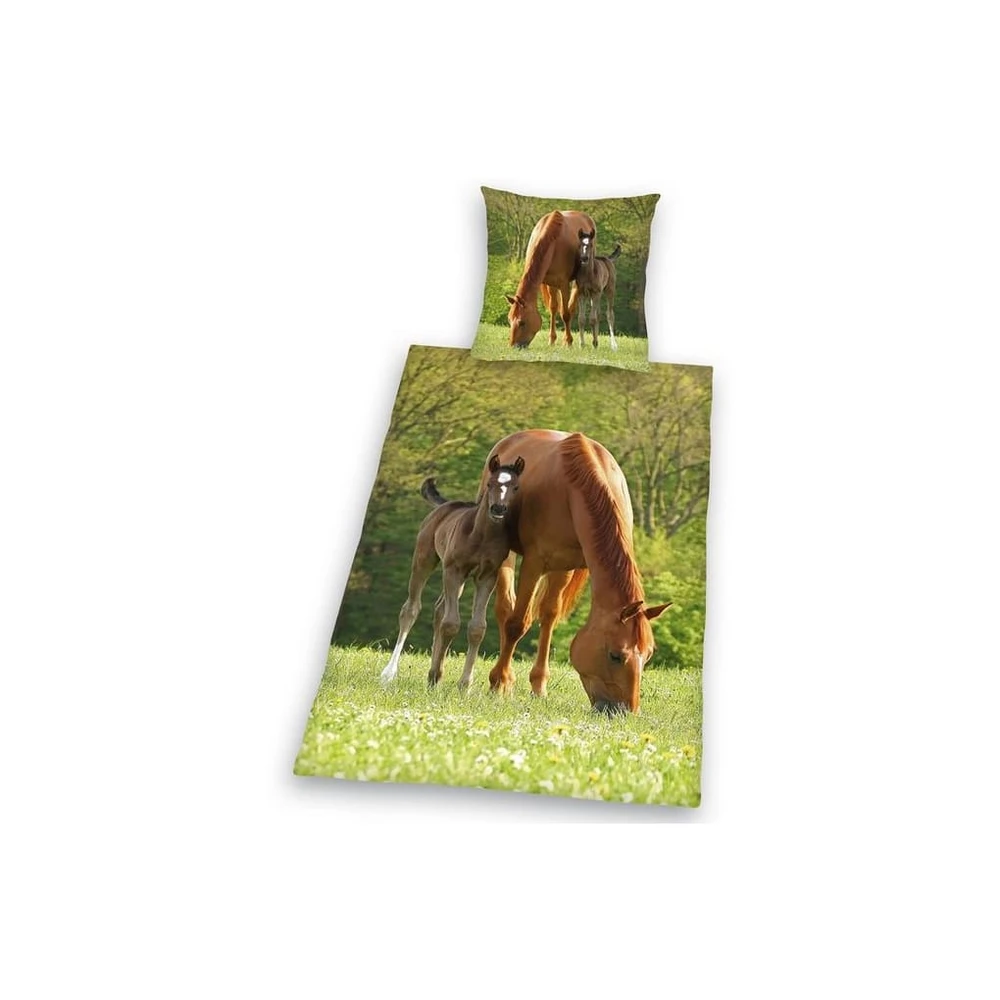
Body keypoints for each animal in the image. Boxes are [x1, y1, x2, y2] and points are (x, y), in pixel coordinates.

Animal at [380, 455, 525, 691]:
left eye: (515, 487)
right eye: (489, 484)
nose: (498, 509)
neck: (481, 536)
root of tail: (446, 505)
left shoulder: (487, 577)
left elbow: (477, 628)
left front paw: (464, 685)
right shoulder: (454, 571)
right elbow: (451, 624)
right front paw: (442, 678)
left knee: (439, 609)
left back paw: (432, 674)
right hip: (425, 559)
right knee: (411, 609)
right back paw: (390, 673)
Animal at [477, 430, 669, 714]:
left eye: (648, 655)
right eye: (615, 656)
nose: (625, 712)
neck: (577, 487)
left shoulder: (566, 564)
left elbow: (549, 617)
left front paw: (539, 687)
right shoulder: (535, 562)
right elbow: (516, 623)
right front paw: (498, 683)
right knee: (506, 609)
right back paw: (504, 678)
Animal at [506, 210, 596, 349]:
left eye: (522, 322)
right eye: (509, 320)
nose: (513, 346)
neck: (552, 241)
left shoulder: (563, 284)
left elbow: (565, 313)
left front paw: (568, 341)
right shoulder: (550, 283)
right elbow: (553, 308)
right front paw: (552, 340)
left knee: (571, 307)